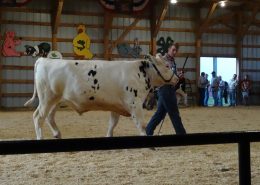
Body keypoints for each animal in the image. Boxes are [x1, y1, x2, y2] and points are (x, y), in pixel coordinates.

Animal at [24, 54, 179, 139]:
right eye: (167, 65)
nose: (178, 79)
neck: (140, 73)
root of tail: (44, 59)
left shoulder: (116, 106)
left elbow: (112, 124)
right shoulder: (135, 104)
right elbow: (141, 124)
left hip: (56, 100)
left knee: (49, 117)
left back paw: (57, 134)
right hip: (46, 98)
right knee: (38, 117)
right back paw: (40, 137)